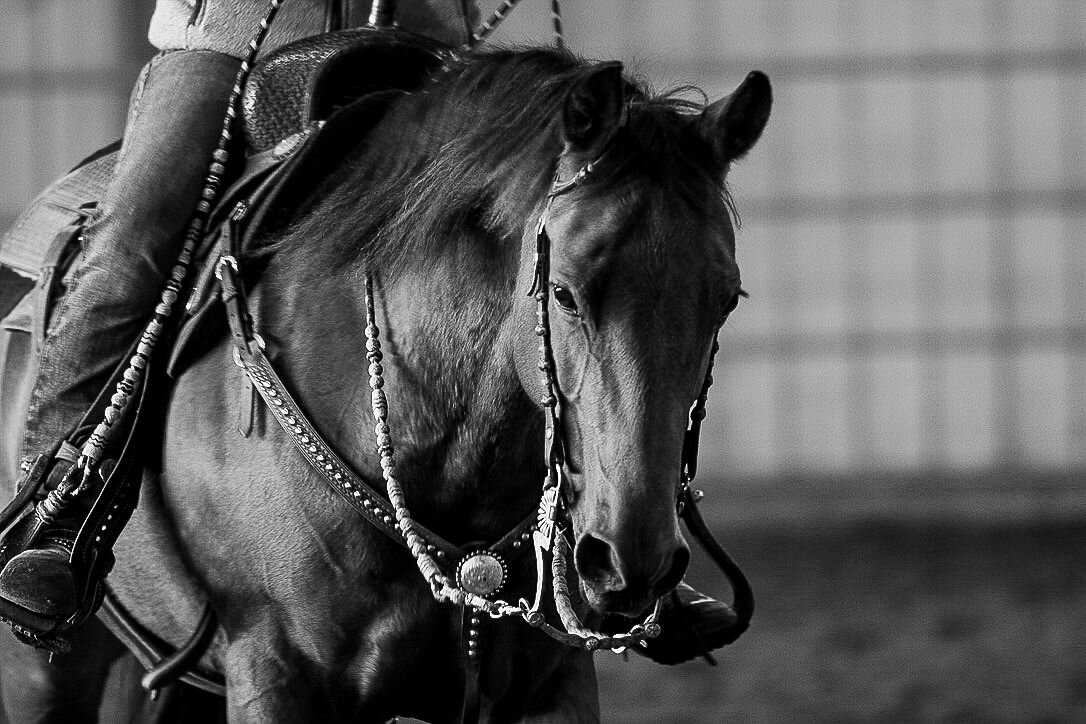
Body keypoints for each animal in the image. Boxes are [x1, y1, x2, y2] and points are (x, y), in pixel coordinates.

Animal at [0, 40, 770, 722]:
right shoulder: (275, 672)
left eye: (726, 299)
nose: (630, 562)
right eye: (566, 292)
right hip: (42, 668)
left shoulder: (549, 685)